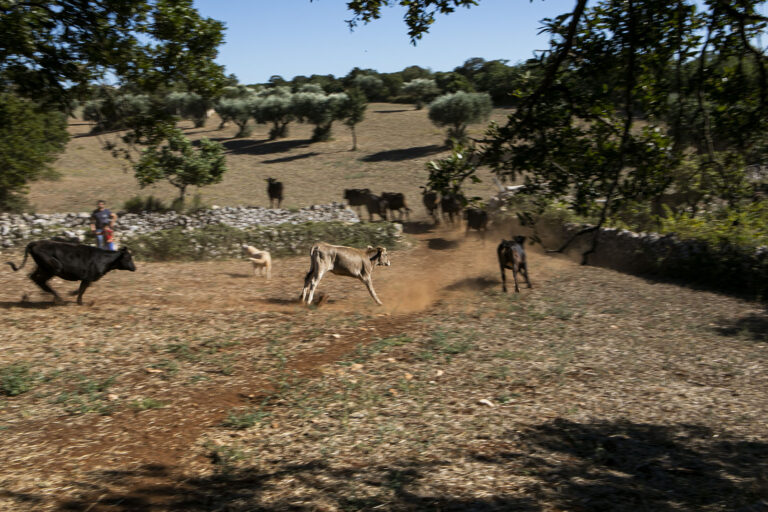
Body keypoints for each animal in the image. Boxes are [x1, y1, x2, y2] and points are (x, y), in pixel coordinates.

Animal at [6, 240, 136, 304]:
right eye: (128, 258)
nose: (134, 268)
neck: (103, 259)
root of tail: (35, 243)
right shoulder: (88, 278)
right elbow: (82, 289)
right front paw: (78, 300)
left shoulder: (87, 279)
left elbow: (82, 288)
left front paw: (77, 299)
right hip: (53, 268)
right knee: (39, 280)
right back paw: (57, 298)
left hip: (42, 267)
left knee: (33, 278)